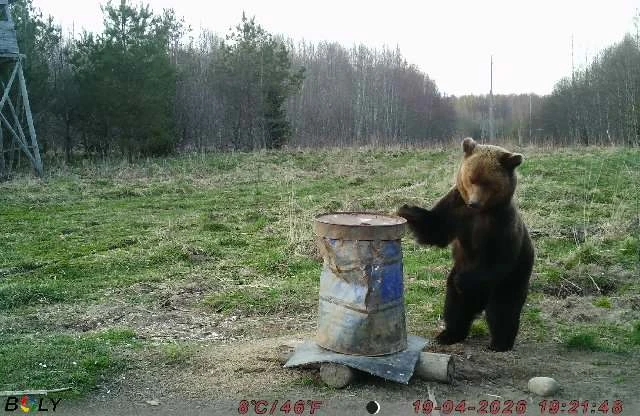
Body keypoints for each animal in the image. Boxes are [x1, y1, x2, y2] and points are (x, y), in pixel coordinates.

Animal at [398, 137, 534, 351]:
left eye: (489, 183)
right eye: (471, 179)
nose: (474, 203)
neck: (482, 212)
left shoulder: (502, 226)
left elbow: (496, 260)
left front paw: (464, 281)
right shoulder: (456, 207)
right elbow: (436, 228)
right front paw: (406, 210)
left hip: (514, 274)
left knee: (503, 308)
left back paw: (500, 343)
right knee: (456, 306)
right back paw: (449, 334)